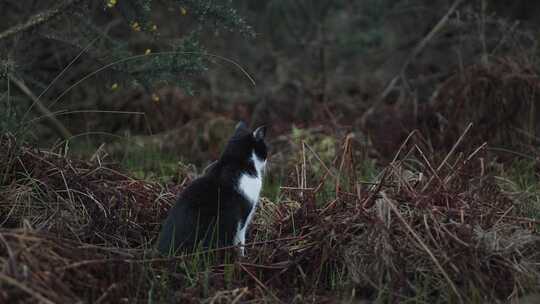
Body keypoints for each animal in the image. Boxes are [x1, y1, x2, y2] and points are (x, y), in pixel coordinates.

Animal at [158, 122, 268, 255]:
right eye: (265, 149)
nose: (267, 160)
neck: (234, 162)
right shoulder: (243, 216)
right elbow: (241, 240)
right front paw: (241, 257)